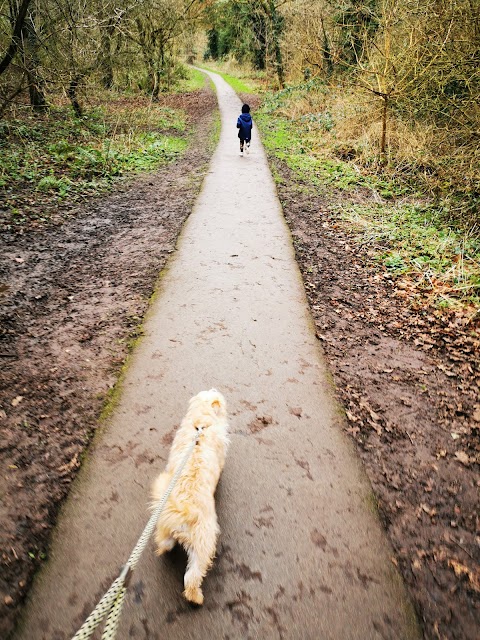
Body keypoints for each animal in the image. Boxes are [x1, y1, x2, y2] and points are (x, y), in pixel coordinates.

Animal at [153, 390, 230, 604]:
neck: (201, 422)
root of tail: (183, 511)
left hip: (165, 527)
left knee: (165, 542)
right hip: (204, 542)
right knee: (192, 577)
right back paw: (196, 597)